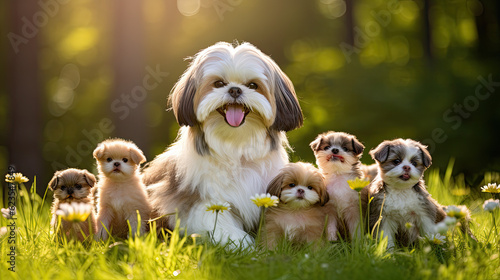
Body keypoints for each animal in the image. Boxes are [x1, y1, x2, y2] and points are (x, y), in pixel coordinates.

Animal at [143, 41, 302, 247]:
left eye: (252, 85)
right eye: (219, 83)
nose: (234, 90)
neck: (236, 147)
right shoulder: (202, 202)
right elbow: (222, 226)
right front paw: (247, 248)